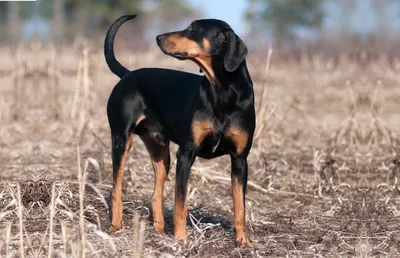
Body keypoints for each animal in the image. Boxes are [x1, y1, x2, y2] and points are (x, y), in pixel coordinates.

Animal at [104, 14, 255, 248]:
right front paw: (181, 238)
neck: (222, 92)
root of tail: (128, 75)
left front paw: (243, 241)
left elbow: (240, 206)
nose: (158, 37)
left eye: (193, 29)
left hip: (161, 153)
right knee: (116, 188)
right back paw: (116, 225)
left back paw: (158, 229)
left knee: (156, 193)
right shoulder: (186, 154)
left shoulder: (240, 159)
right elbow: (180, 203)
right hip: (121, 141)